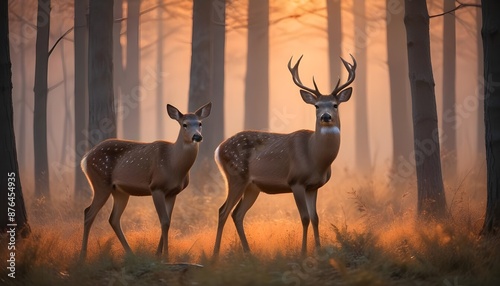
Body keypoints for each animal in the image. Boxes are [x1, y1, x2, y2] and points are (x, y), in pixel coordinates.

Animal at [79, 102, 211, 260]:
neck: (173, 164)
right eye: (184, 124)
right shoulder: (156, 187)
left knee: (113, 219)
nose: (197, 136)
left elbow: (168, 221)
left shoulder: (173, 193)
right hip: (100, 183)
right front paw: (165, 256)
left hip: (120, 191)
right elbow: (164, 221)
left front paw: (158, 255)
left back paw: (130, 253)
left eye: (200, 123)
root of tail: (85, 158)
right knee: (89, 213)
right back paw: (82, 256)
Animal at [213, 55, 358, 255]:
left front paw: (319, 251)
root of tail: (218, 149)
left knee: (237, 214)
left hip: (252, 186)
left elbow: (315, 217)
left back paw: (249, 253)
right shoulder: (296, 181)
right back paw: (215, 255)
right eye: (316, 106)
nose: (326, 116)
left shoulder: (314, 186)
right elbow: (304, 217)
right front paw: (303, 253)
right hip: (236, 176)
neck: (315, 157)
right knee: (223, 211)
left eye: (335, 105)